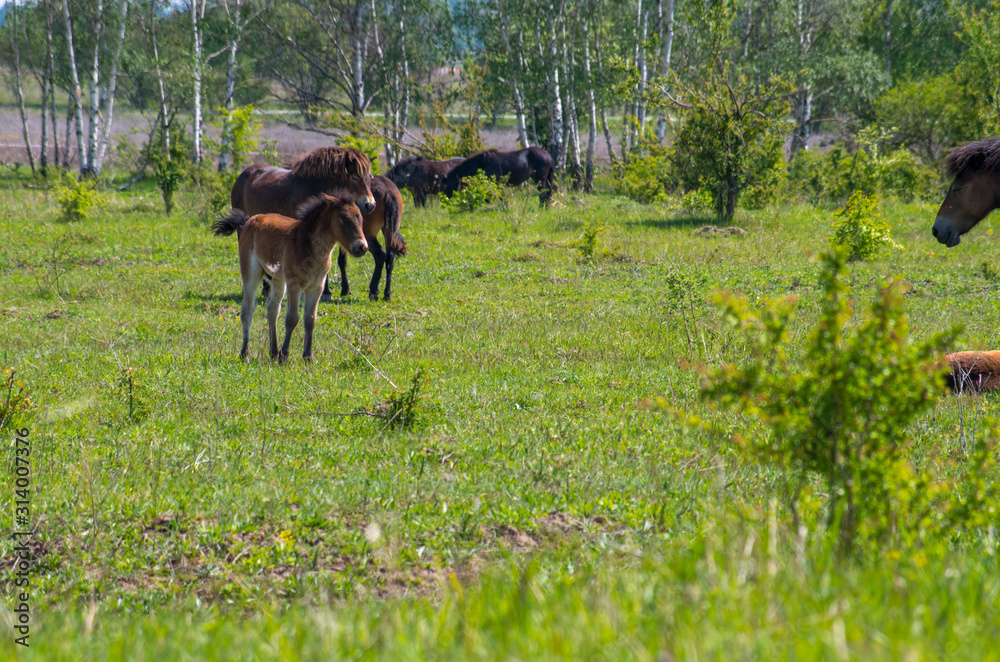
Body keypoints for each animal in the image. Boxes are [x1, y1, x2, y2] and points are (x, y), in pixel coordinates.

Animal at [212, 195, 367, 363]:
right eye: (344, 219)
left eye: (361, 218)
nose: (362, 247)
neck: (309, 247)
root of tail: (249, 220)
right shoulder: (294, 284)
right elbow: (292, 319)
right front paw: (284, 355)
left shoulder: (316, 287)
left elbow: (310, 319)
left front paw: (307, 356)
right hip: (251, 273)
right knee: (248, 310)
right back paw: (245, 353)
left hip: (277, 280)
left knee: (272, 309)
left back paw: (273, 352)